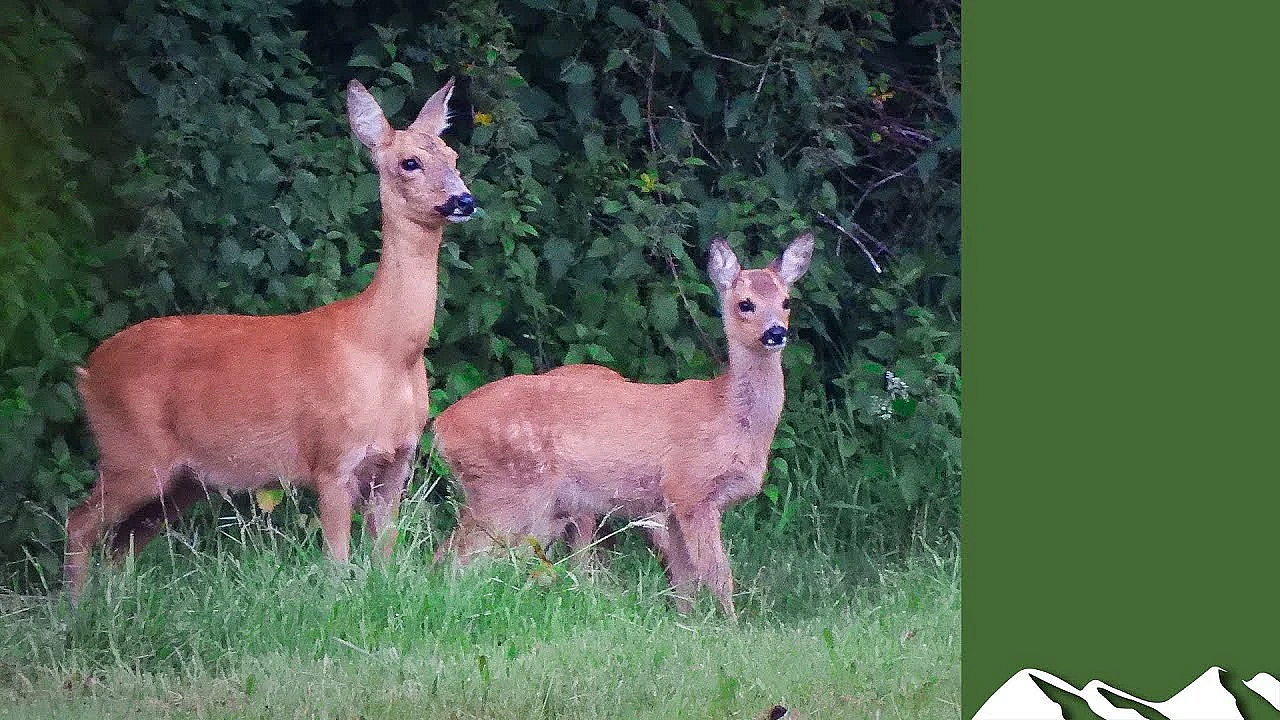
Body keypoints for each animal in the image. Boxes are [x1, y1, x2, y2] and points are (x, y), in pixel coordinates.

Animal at [63, 76, 475, 600]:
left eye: (454, 155)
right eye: (409, 162)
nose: (464, 200)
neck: (384, 350)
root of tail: (88, 371)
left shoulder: (397, 461)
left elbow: (385, 559)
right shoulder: (331, 457)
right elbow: (337, 563)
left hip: (179, 479)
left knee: (122, 545)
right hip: (131, 451)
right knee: (79, 522)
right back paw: (73, 610)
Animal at [430, 233, 814, 616]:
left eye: (786, 301)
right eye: (745, 304)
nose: (776, 332)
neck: (727, 415)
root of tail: (442, 426)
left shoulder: (670, 506)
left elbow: (683, 579)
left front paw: (687, 621)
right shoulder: (689, 488)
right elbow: (718, 574)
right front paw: (730, 624)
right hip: (508, 491)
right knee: (462, 557)